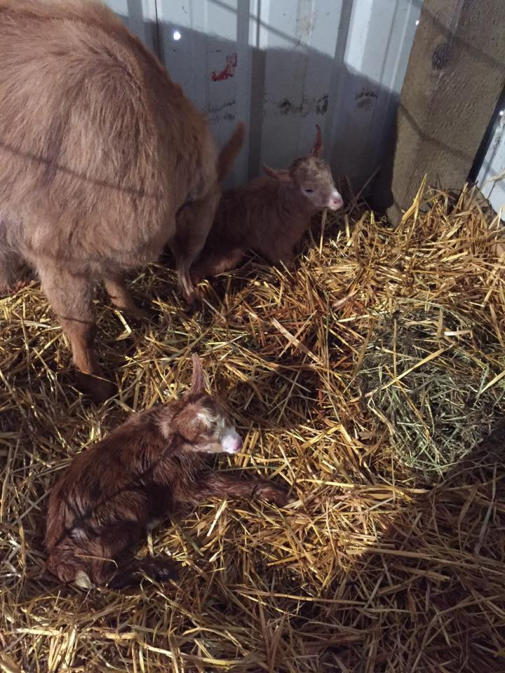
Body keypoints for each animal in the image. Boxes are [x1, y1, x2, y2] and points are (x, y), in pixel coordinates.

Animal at [0, 0, 222, 400]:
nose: (195, 300)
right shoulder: (57, 254)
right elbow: (81, 327)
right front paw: (97, 385)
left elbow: (115, 280)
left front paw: (138, 313)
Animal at [45, 354, 288, 589]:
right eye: (202, 440)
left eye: (225, 417)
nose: (237, 444)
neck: (165, 432)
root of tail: (57, 551)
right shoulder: (180, 480)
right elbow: (220, 484)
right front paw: (275, 492)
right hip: (126, 509)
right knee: (100, 575)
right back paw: (160, 569)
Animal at [190, 125, 344, 284]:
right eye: (308, 189)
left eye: (329, 174)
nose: (338, 200)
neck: (283, 206)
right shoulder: (275, 246)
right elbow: (286, 262)